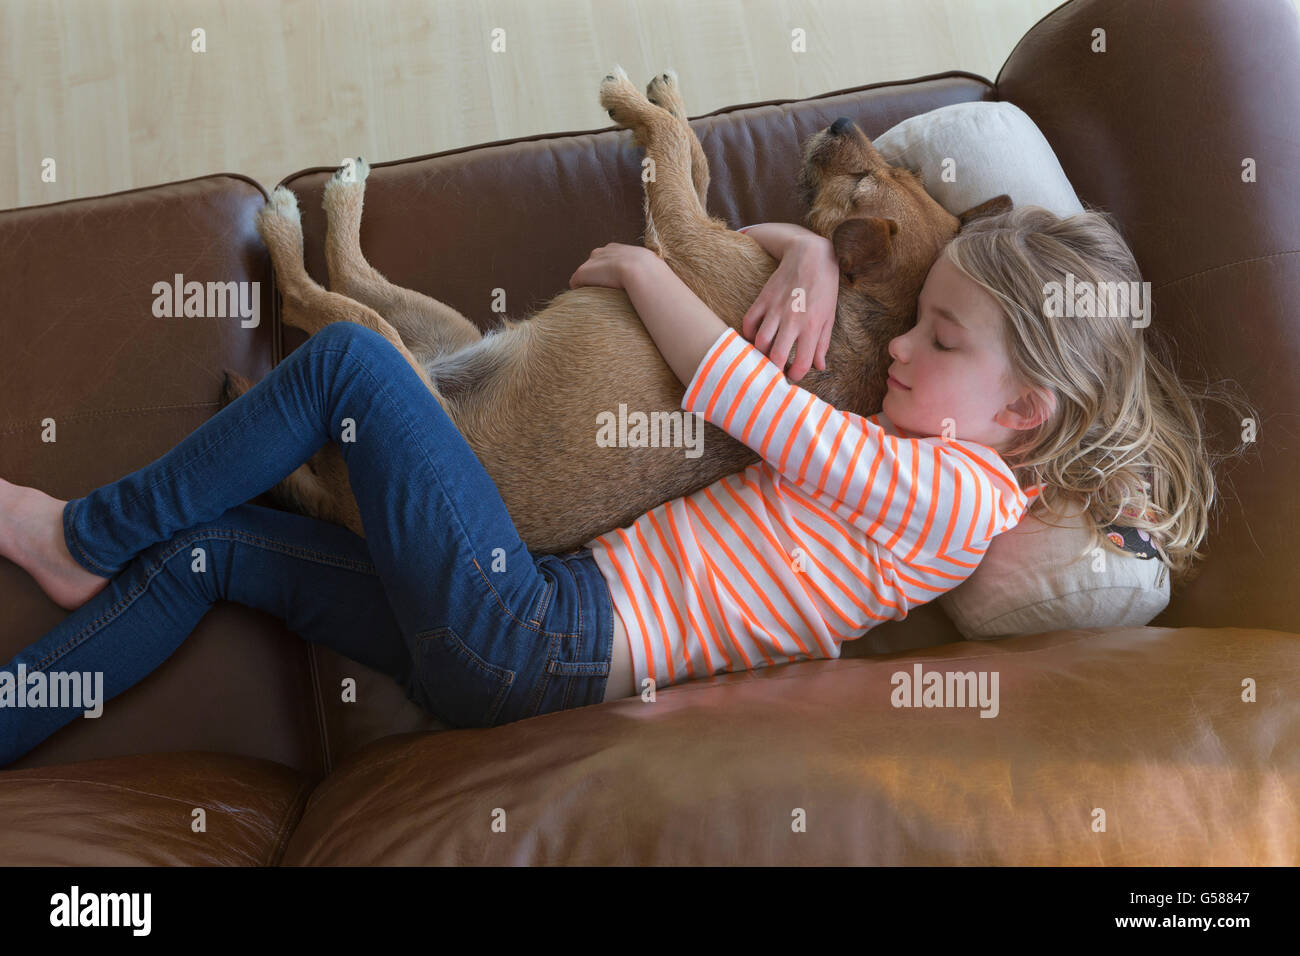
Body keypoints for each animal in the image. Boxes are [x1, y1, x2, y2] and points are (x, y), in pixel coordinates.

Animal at [239, 69, 1008, 554]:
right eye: (895, 172)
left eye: (865, 178)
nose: (844, 118)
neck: (867, 317)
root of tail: (343, 512)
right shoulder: (685, 220)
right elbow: (688, 151)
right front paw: (663, 95)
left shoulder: (682, 232)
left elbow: (668, 149)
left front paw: (624, 97)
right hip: (444, 331)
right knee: (348, 273)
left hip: (386, 358)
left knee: (315, 296)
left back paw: (292, 214)